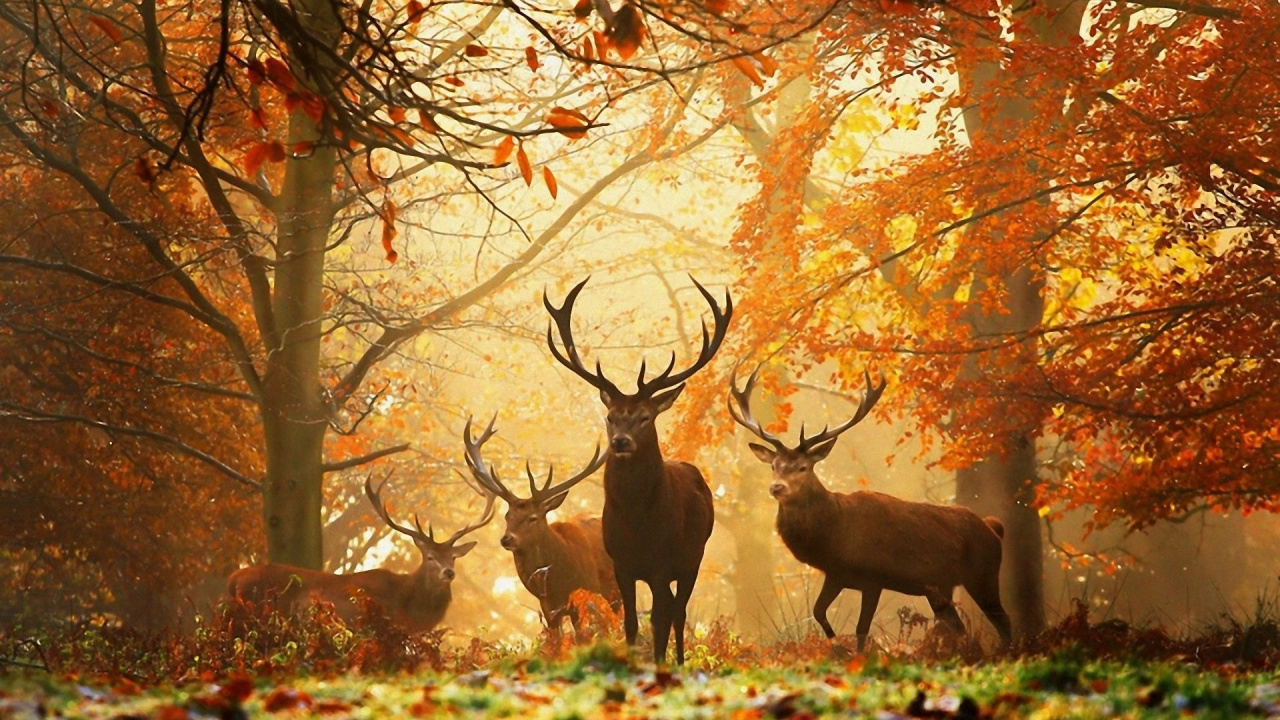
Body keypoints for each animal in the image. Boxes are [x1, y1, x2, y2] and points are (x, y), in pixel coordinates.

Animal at [460, 415, 620, 638]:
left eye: (533, 518)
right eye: (507, 516)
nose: (507, 539)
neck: (558, 581)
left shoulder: (586, 594)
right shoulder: (548, 608)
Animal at [544, 276, 731, 665]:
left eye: (645, 417)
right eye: (610, 416)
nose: (621, 442)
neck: (637, 524)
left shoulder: (662, 562)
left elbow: (659, 620)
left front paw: (659, 665)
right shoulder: (622, 564)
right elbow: (630, 622)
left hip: (693, 557)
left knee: (678, 612)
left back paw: (678, 662)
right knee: (672, 609)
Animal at [728, 367, 1012, 653]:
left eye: (802, 467)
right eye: (773, 465)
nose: (776, 487)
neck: (834, 535)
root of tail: (993, 528)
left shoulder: (874, 577)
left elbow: (861, 629)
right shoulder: (836, 574)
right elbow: (818, 611)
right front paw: (836, 646)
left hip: (983, 573)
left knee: (1004, 620)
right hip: (940, 588)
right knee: (959, 627)